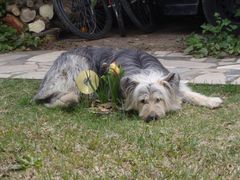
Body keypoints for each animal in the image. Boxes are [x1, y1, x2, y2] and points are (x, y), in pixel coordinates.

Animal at [34, 46, 223, 122]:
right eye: (142, 101)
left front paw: (211, 100)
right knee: (54, 99)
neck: (144, 71)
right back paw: (68, 100)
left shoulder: (172, 84)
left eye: (159, 100)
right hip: (80, 69)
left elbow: (189, 93)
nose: (152, 117)